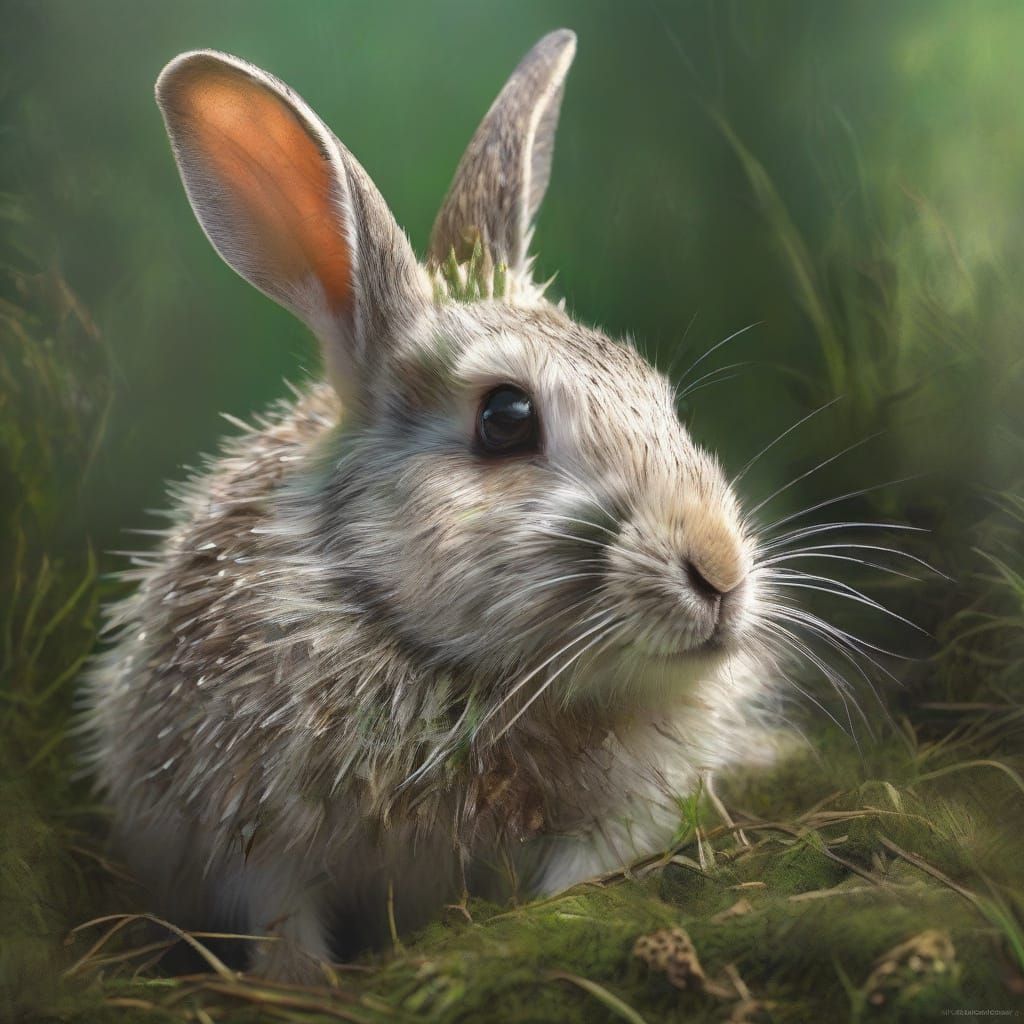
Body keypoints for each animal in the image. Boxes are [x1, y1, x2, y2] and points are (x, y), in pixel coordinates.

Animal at [84, 29, 777, 982]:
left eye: (660, 399)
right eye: (506, 418)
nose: (720, 571)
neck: (455, 670)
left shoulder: (625, 814)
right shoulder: (245, 834)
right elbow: (279, 917)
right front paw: (308, 986)